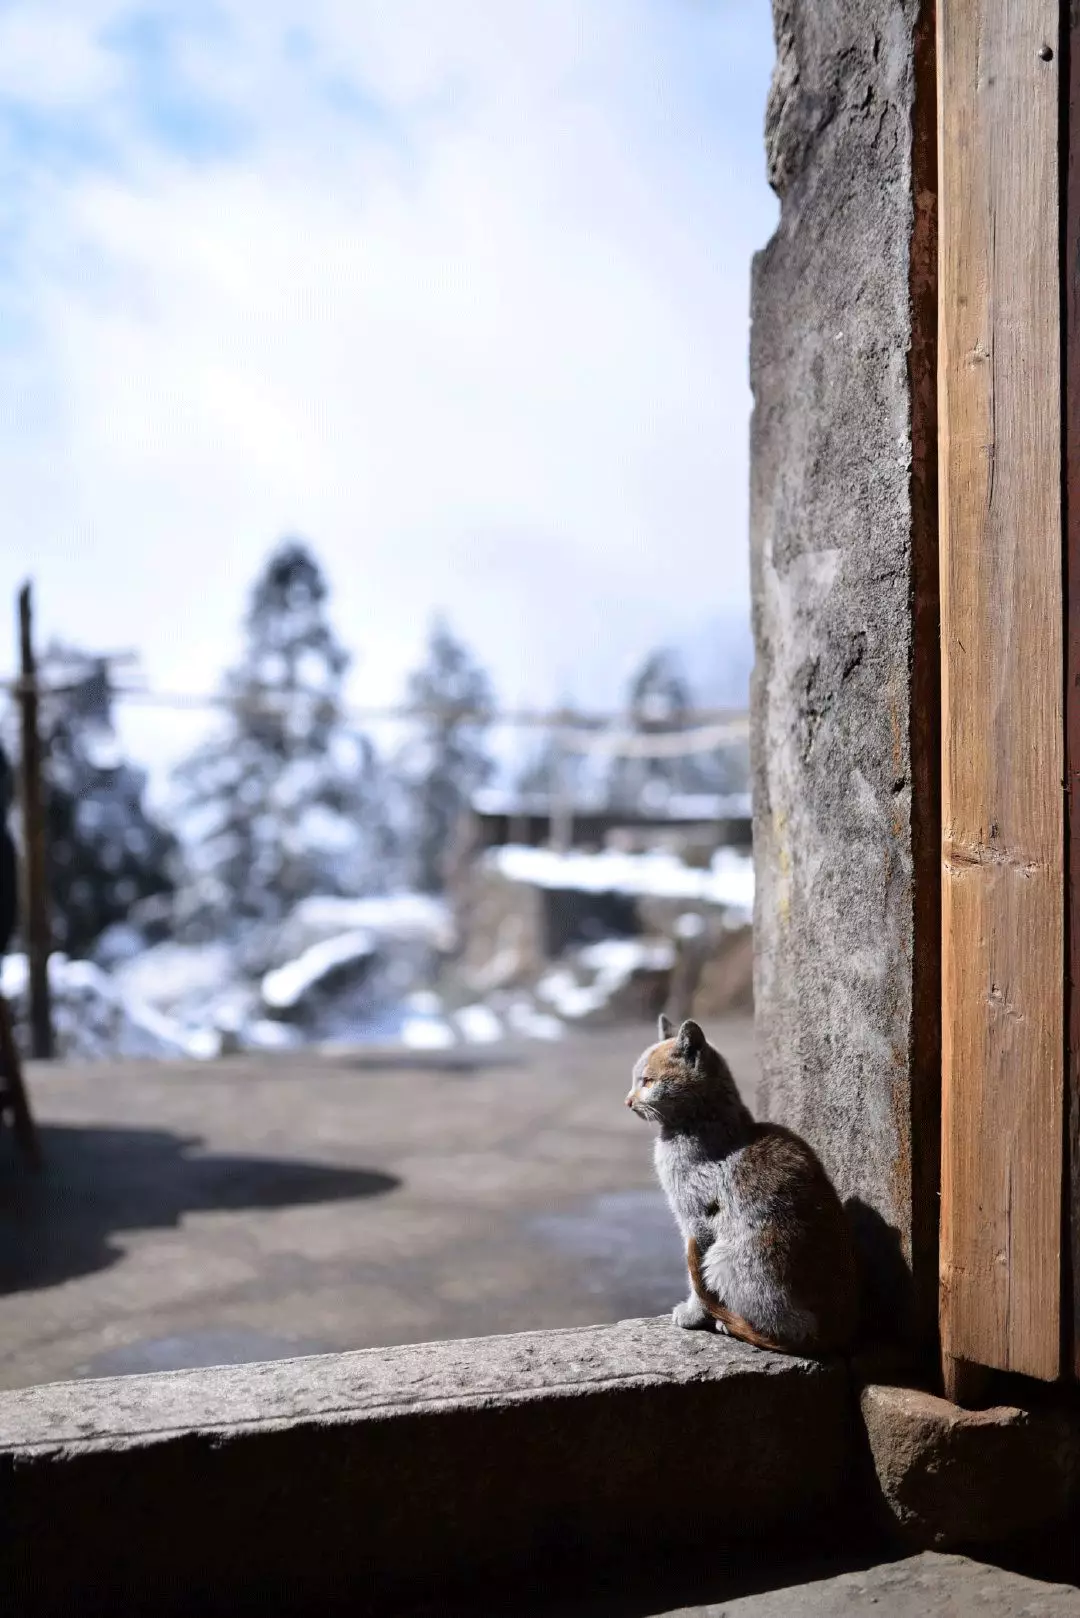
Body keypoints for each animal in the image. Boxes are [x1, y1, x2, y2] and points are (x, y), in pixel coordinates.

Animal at [628, 1009, 854, 1352]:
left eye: (648, 1081)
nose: (627, 1101)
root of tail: (829, 1334)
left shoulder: (696, 1222)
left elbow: (694, 1279)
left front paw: (693, 1315)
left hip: (724, 1257)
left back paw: (730, 1322)